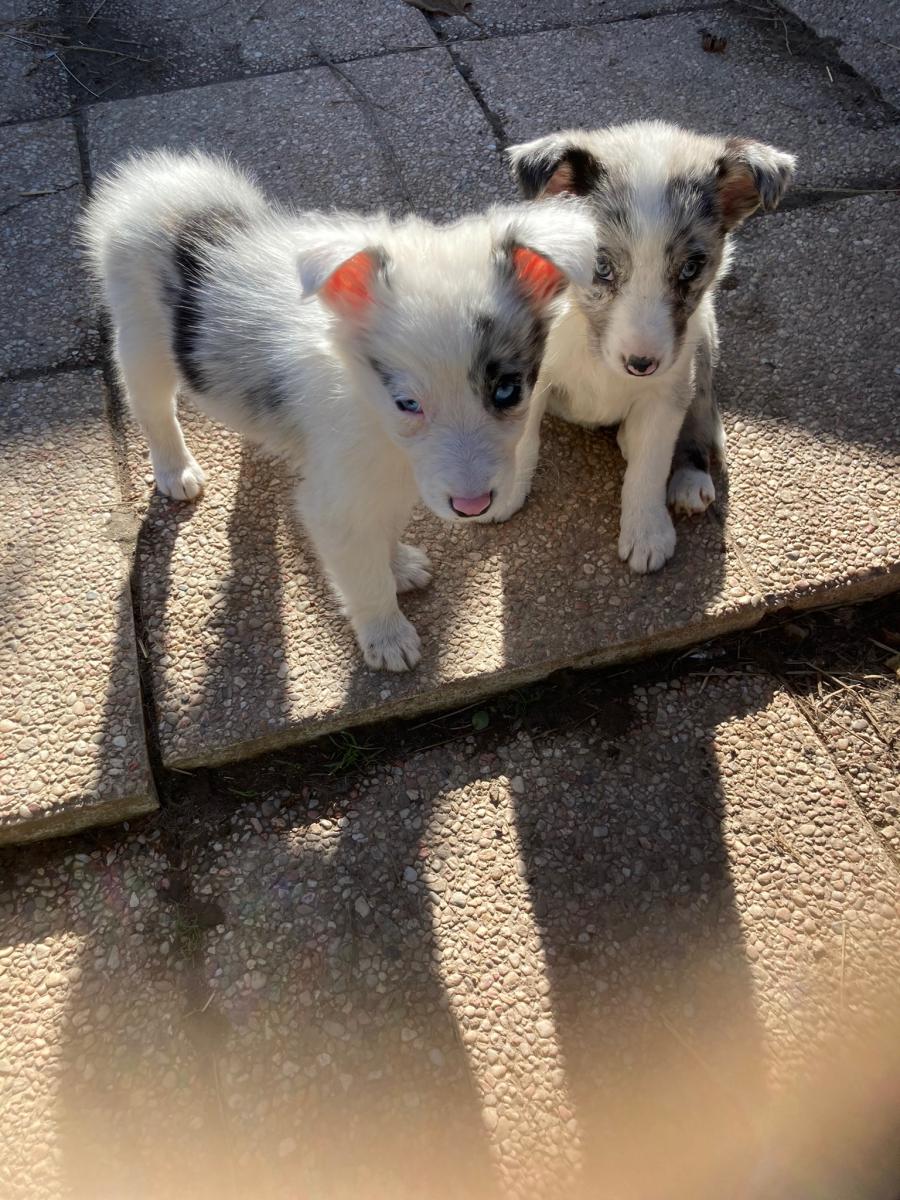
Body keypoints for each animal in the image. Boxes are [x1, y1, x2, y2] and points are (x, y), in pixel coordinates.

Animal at [81, 151, 595, 672]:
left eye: (508, 391)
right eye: (407, 403)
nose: (473, 507)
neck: (370, 409)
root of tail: (163, 183)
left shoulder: (387, 478)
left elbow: (385, 530)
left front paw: (399, 566)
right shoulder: (338, 501)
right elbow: (363, 575)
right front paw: (387, 636)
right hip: (141, 337)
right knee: (151, 407)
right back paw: (175, 469)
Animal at [508, 121, 796, 571]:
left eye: (691, 268)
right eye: (601, 266)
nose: (640, 364)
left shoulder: (668, 387)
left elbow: (649, 467)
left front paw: (647, 533)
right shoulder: (530, 375)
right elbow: (523, 440)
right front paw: (503, 496)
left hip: (702, 348)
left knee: (700, 419)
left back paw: (689, 478)